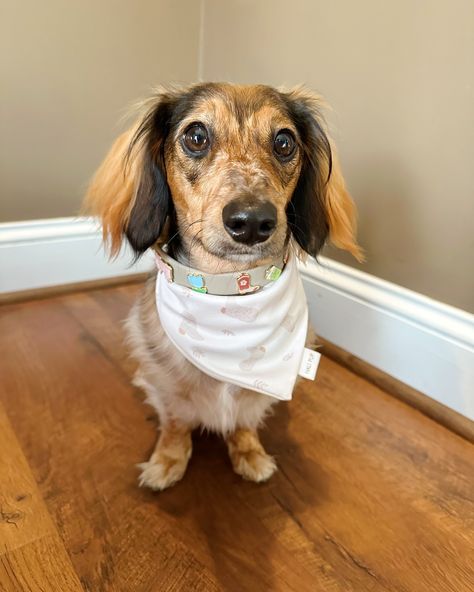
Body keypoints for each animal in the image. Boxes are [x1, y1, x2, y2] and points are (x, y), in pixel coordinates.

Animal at [85, 82, 362, 490]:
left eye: (284, 142)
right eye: (196, 136)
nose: (252, 221)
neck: (229, 289)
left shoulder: (253, 397)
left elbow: (244, 421)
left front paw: (248, 452)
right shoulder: (166, 384)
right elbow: (176, 423)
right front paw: (168, 460)